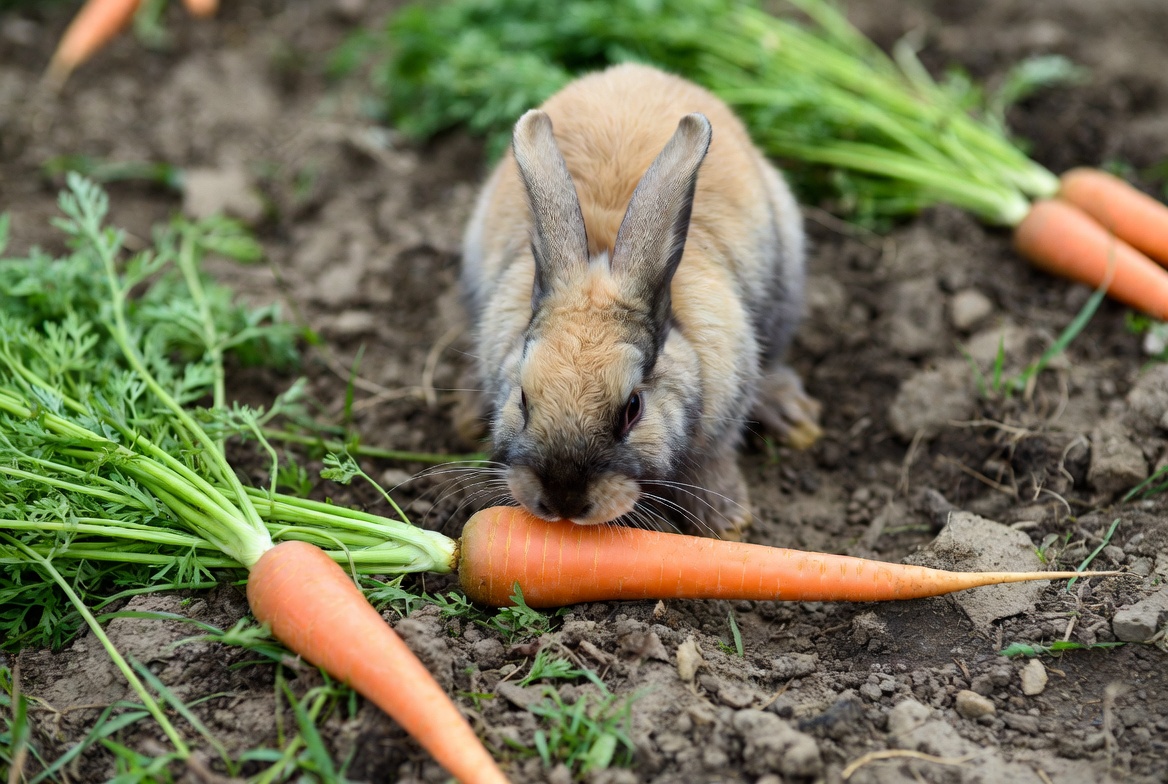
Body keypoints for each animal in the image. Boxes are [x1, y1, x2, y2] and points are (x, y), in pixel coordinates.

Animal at [456, 63, 820, 538]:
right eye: (522, 398)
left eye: (633, 408)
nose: (563, 502)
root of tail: (636, 70)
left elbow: (712, 464)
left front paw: (726, 524)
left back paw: (795, 419)